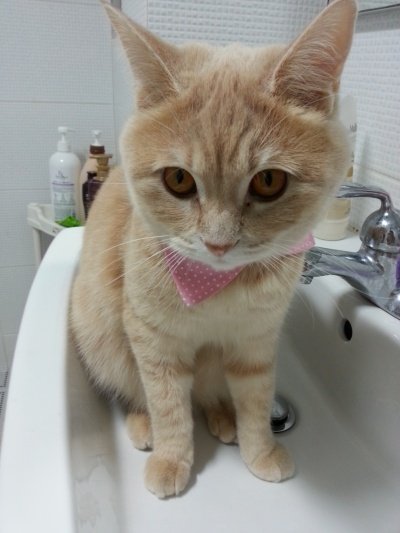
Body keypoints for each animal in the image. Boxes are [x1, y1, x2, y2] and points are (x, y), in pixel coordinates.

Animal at [70, 0, 357, 498]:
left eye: (269, 181)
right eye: (178, 180)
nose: (218, 243)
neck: (218, 286)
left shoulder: (257, 341)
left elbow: (257, 401)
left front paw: (259, 450)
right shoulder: (152, 341)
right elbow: (167, 403)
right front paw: (172, 457)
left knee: (211, 394)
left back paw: (222, 417)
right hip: (101, 338)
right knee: (133, 389)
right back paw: (144, 425)